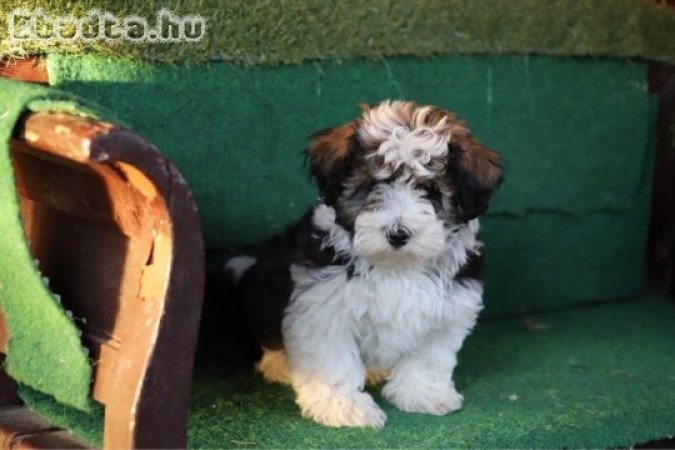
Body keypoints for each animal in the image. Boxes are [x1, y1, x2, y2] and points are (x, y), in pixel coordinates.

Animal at [227, 100, 502, 428]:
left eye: (431, 191)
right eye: (372, 186)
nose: (398, 233)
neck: (396, 266)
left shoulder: (450, 307)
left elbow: (429, 356)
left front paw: (422, 393)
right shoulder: (324, 305)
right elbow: (332, 359)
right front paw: (341, 405)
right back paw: (280, 364)